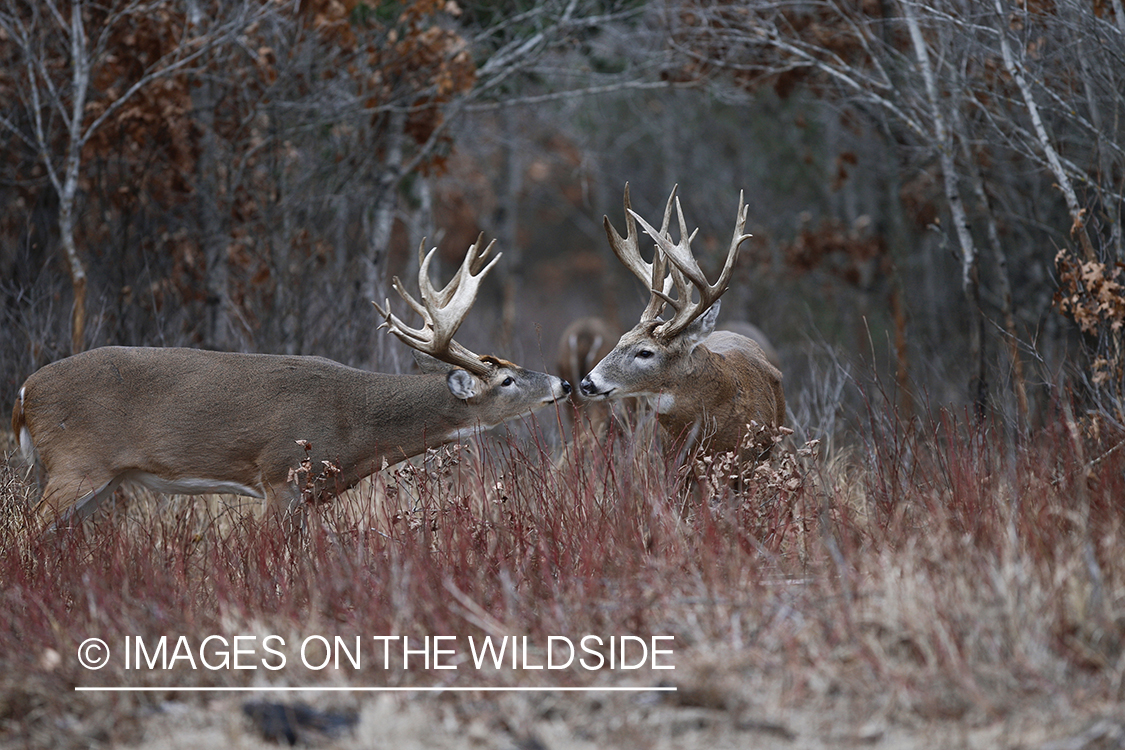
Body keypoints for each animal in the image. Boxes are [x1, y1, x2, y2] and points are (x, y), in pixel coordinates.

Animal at [17, 237, 576, 530]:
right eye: (507, 379)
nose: (563, 384)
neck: (356, 426)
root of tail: (25, 392)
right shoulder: (280, 476)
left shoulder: (309, 495)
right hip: (74, 464)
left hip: (104, 480)